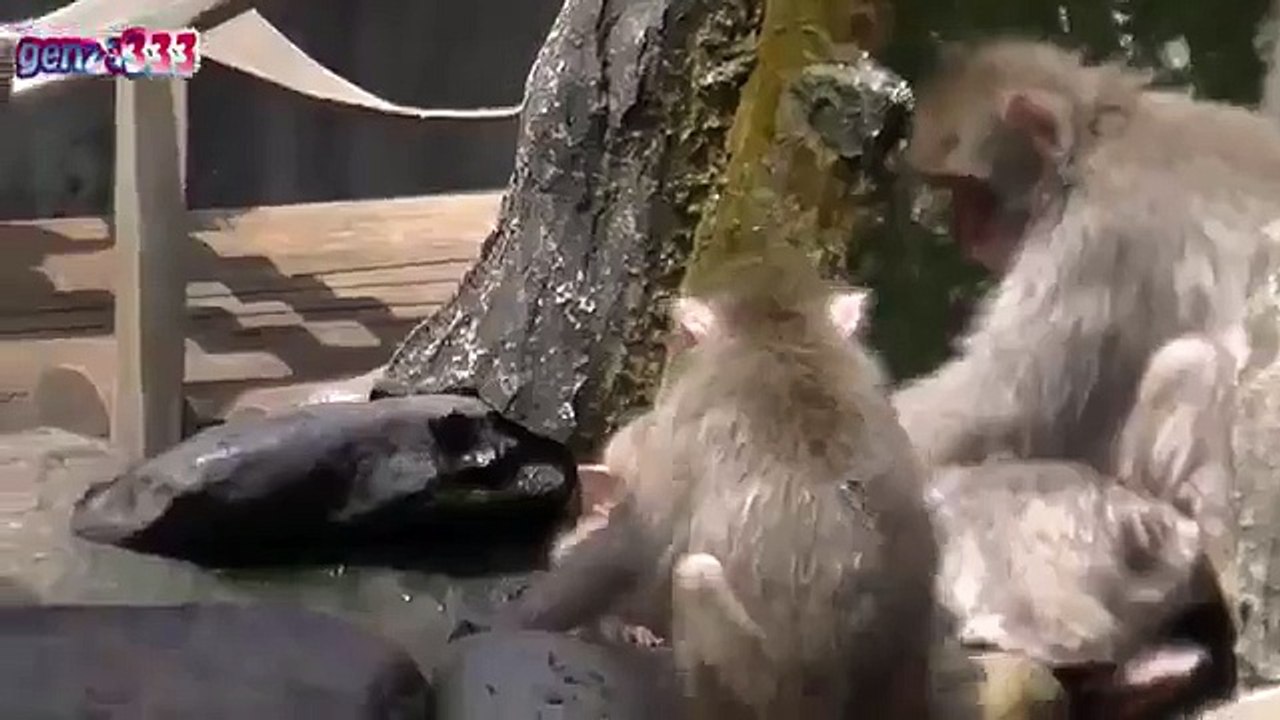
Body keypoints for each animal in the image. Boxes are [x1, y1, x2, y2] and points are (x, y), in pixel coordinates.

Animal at [893, 40, 1276, 481]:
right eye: (952, 191)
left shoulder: (1096, 239)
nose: (964, 232)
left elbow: (1000, 403)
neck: (1090, 142)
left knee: (1194, 363)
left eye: (971, 191)